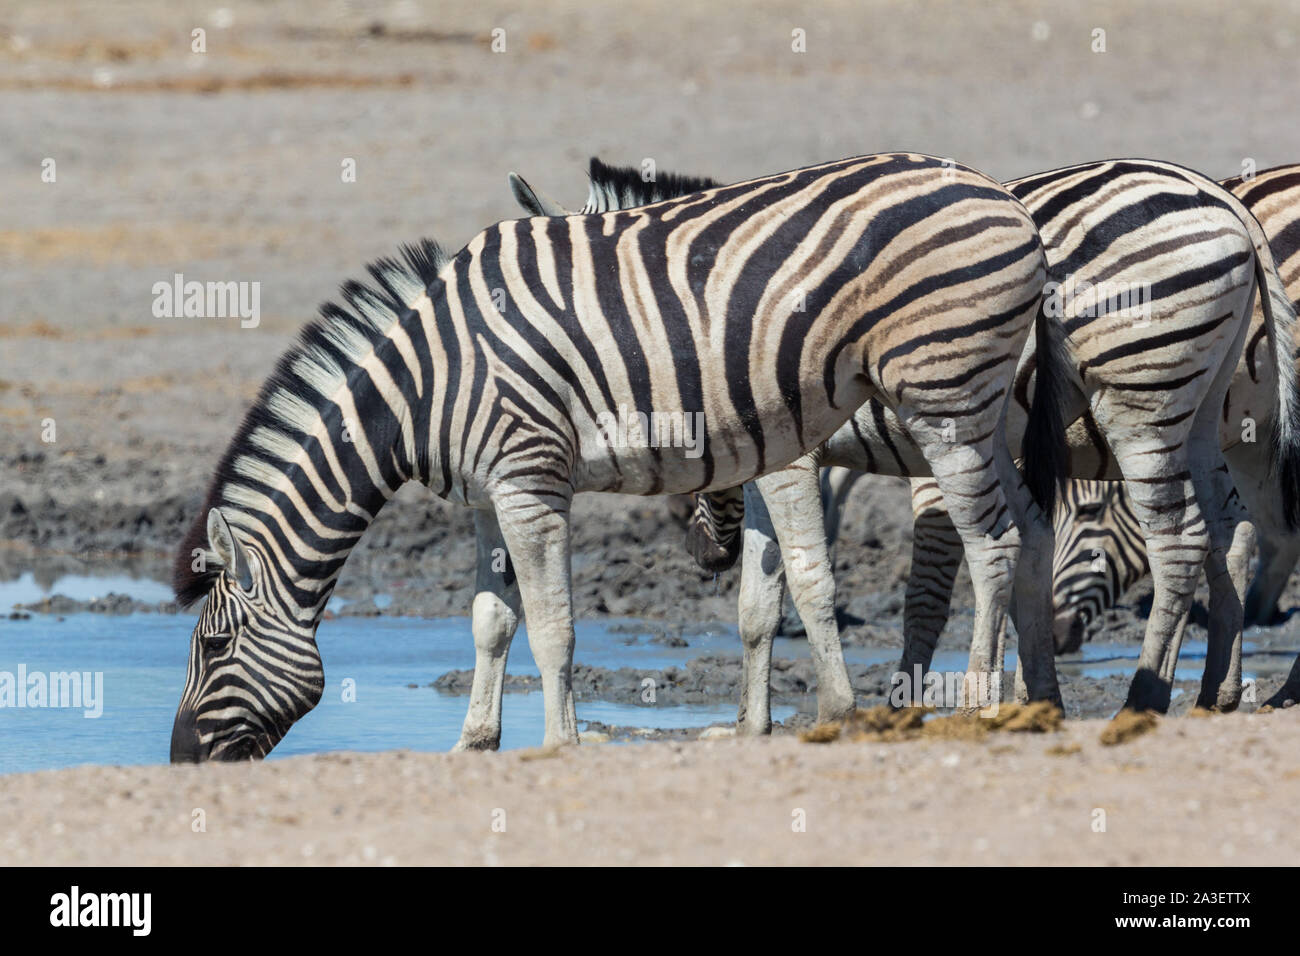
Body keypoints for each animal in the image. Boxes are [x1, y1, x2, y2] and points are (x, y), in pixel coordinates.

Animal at [167, 151, 1060, 764]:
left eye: (212, 648)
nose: (180, 761)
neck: (425, 384)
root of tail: (1004, 197)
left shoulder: (532, 481)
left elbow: (556, 626)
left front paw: (559, 744)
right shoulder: (488, 496)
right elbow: (492, 621)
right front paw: (474, 742)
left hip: (943, 397)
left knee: (992, 544)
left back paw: (980, 705)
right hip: (981, 409)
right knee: (1030, 531)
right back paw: (1039, 703)